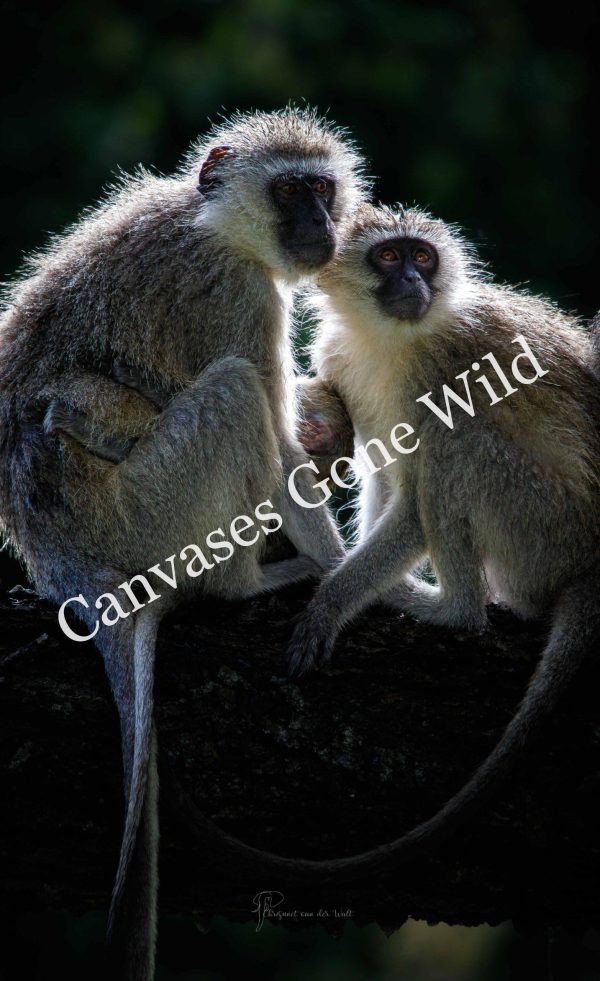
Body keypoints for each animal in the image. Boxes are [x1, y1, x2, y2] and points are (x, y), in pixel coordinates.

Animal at [0, 108, 368, 979]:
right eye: (293, 191)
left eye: (324, 188)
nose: (323, 223)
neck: (212, 221)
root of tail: (65, 562)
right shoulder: (233, 292)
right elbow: (279, 449)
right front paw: (346, 578)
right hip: (149, 514)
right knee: (236, 393)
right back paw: (254, 581)